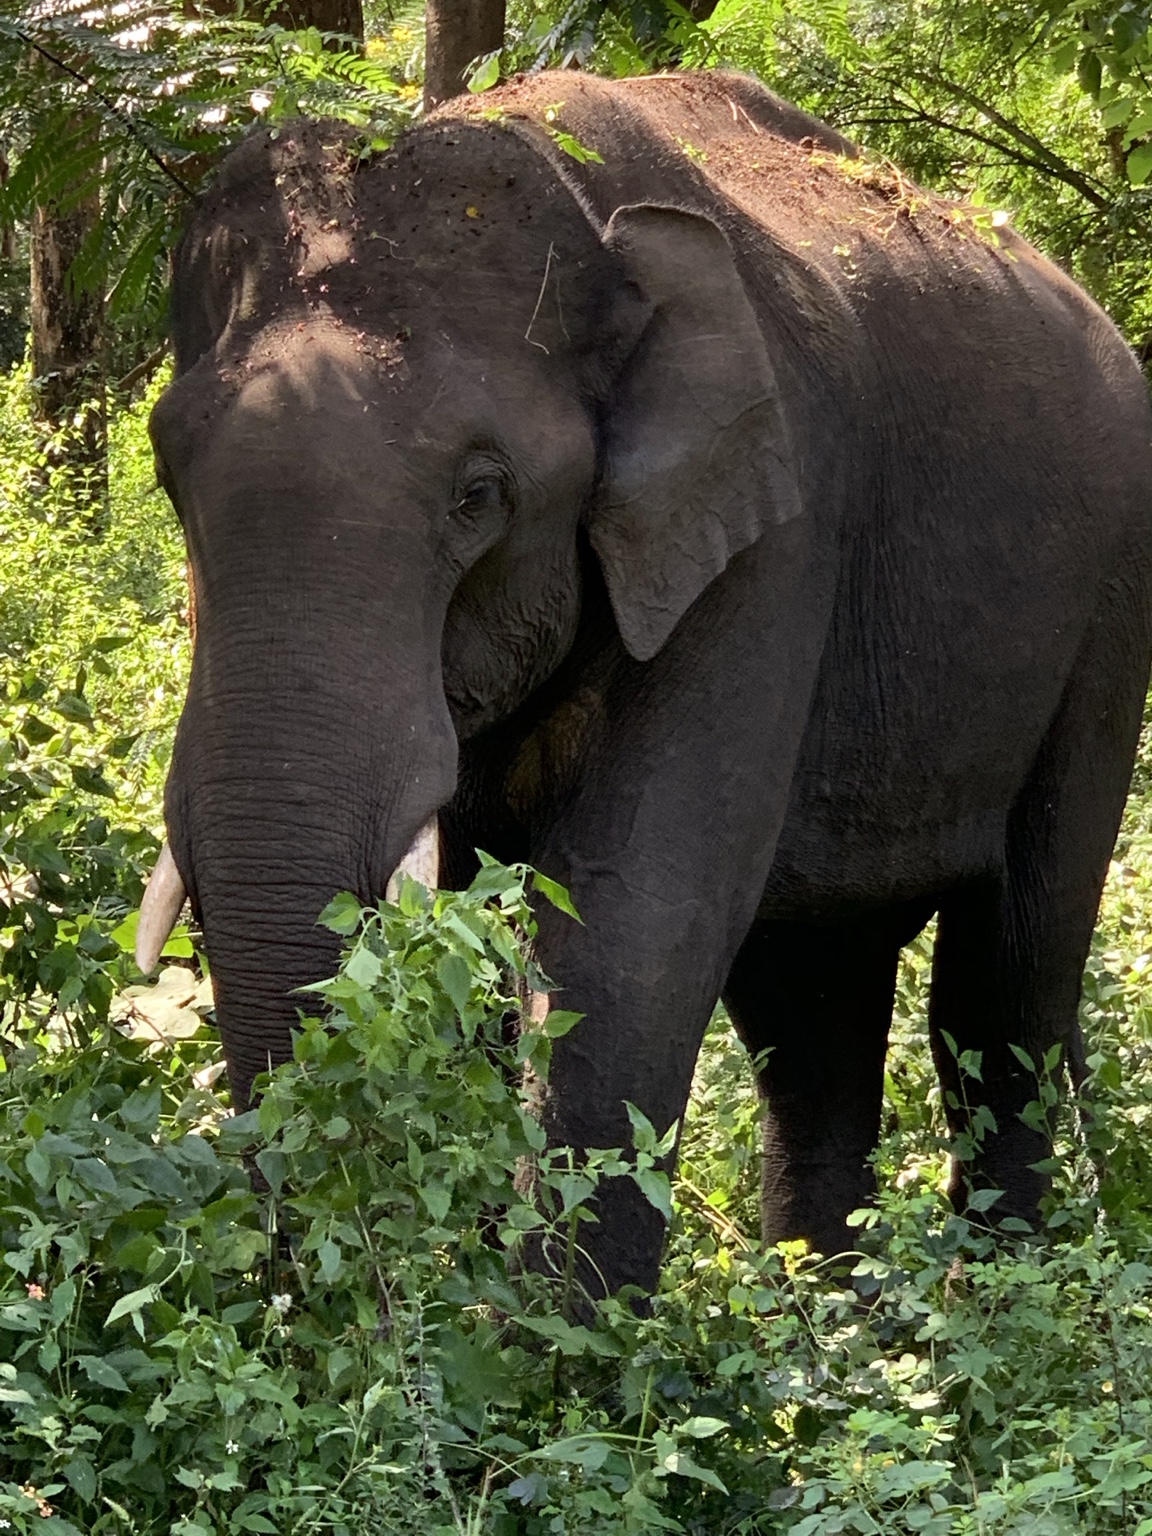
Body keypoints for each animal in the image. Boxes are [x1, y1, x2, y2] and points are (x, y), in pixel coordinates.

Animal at [141, 67, 1152, 1296]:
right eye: (168, 471)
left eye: (481, 495)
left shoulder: (771, 530)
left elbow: (636, 927)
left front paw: (547, 1340)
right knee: (813, 1001)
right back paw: (832, 1316)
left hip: (1108, 611)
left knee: (1008, 978)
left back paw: (998, 1296)